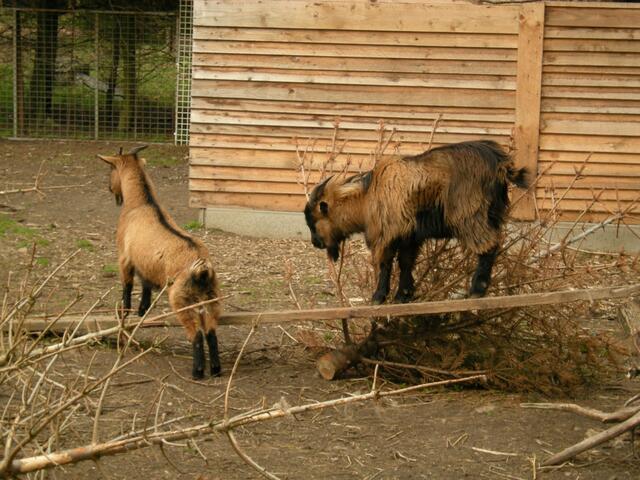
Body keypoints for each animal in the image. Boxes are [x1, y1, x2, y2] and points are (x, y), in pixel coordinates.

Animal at [98, 145, 222, 379]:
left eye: (110, 169)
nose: (110, 189)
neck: (141, 203)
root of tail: (202, 268)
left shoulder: (124, 258)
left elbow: (127, 287)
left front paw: (126, 314)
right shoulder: (146, 264)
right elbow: (146, 285)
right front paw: (142, 311)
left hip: (181, 299)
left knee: (197, 334)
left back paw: (197, 371)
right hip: (211, 298)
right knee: (211, 332)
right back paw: (217, 370)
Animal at [304, 140, 529, 304]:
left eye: (314, 220)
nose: (316, 243)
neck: (368, 195)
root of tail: (499, 164)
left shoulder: (385, 234)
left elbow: (385, 264)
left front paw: (379, 297)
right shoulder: (409, 237)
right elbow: (406, 264)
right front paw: (403, 295)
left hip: (469, 216)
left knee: (488, 246)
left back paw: (476, 290)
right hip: (493, 214)